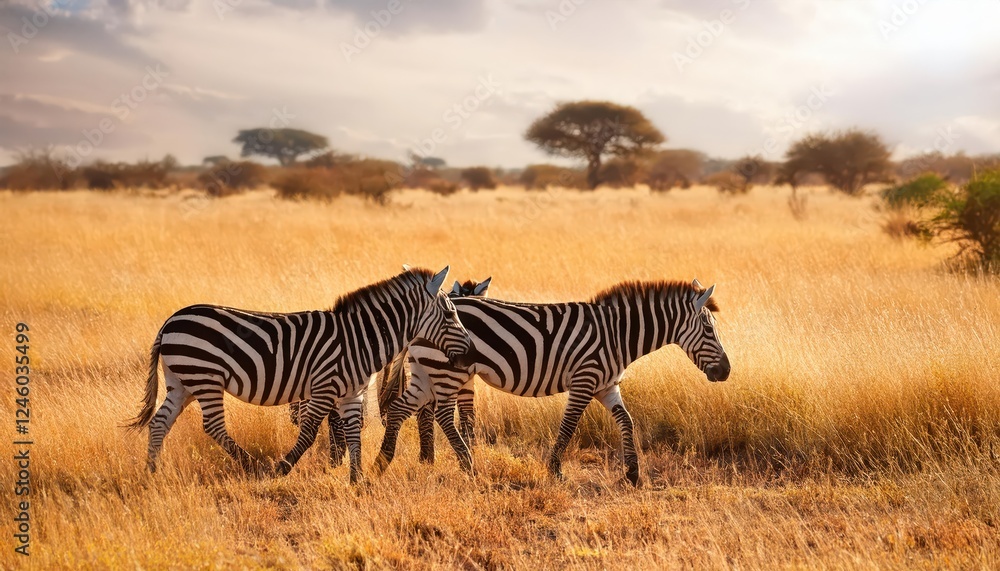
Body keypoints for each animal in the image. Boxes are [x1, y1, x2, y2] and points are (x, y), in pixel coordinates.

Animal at [373, 279, 729, 486]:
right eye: (709, 330)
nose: (726, 372)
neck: (616, 335)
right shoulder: (585, 379)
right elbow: (569, 425)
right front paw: (555, 470)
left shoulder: (607, 385)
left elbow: (626, 422)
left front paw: (632, 473)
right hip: (448, 370)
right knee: (443, 416)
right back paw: (467, 465)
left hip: (425, 371)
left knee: (400, 409)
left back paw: (383, 460)